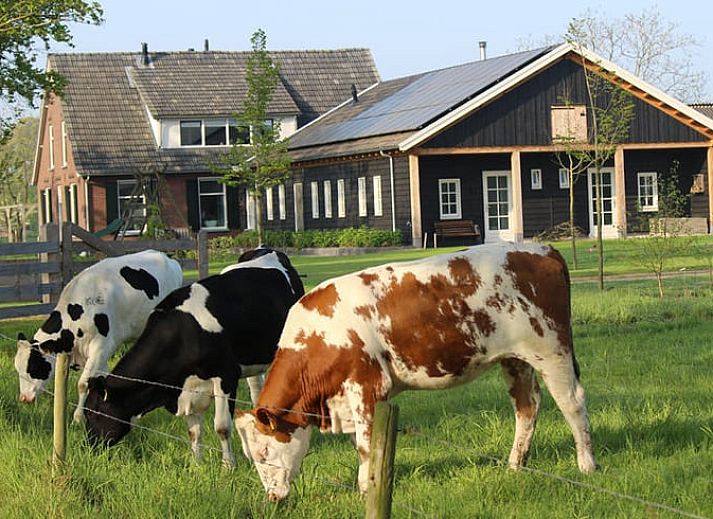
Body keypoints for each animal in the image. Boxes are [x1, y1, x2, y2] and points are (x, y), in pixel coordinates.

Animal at [14, 249, 183, 422]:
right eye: (17, 368)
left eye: (33, 367)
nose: (23, 398)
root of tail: (167, 258)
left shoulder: (100, 347)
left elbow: (83, 384)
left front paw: (78, 418)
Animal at [83, 247, 305, 467]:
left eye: (91, 412)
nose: (90, 447)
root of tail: (267, 249)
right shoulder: (187, 388)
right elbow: (193, 432)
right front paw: (197, 464)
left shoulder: (226, 376)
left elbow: (222, 427)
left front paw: (228, 465)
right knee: (257, 390)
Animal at [234, 242, 597, 502]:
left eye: (265, 451)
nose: (272, 497)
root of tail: (542, 249)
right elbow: (361, 443)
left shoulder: (367, 386)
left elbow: (365, 444)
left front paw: (367, 488)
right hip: (515, 359)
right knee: (526, 406)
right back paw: (514, 465)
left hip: (551, 350)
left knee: (572, 403)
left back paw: (587, 465)